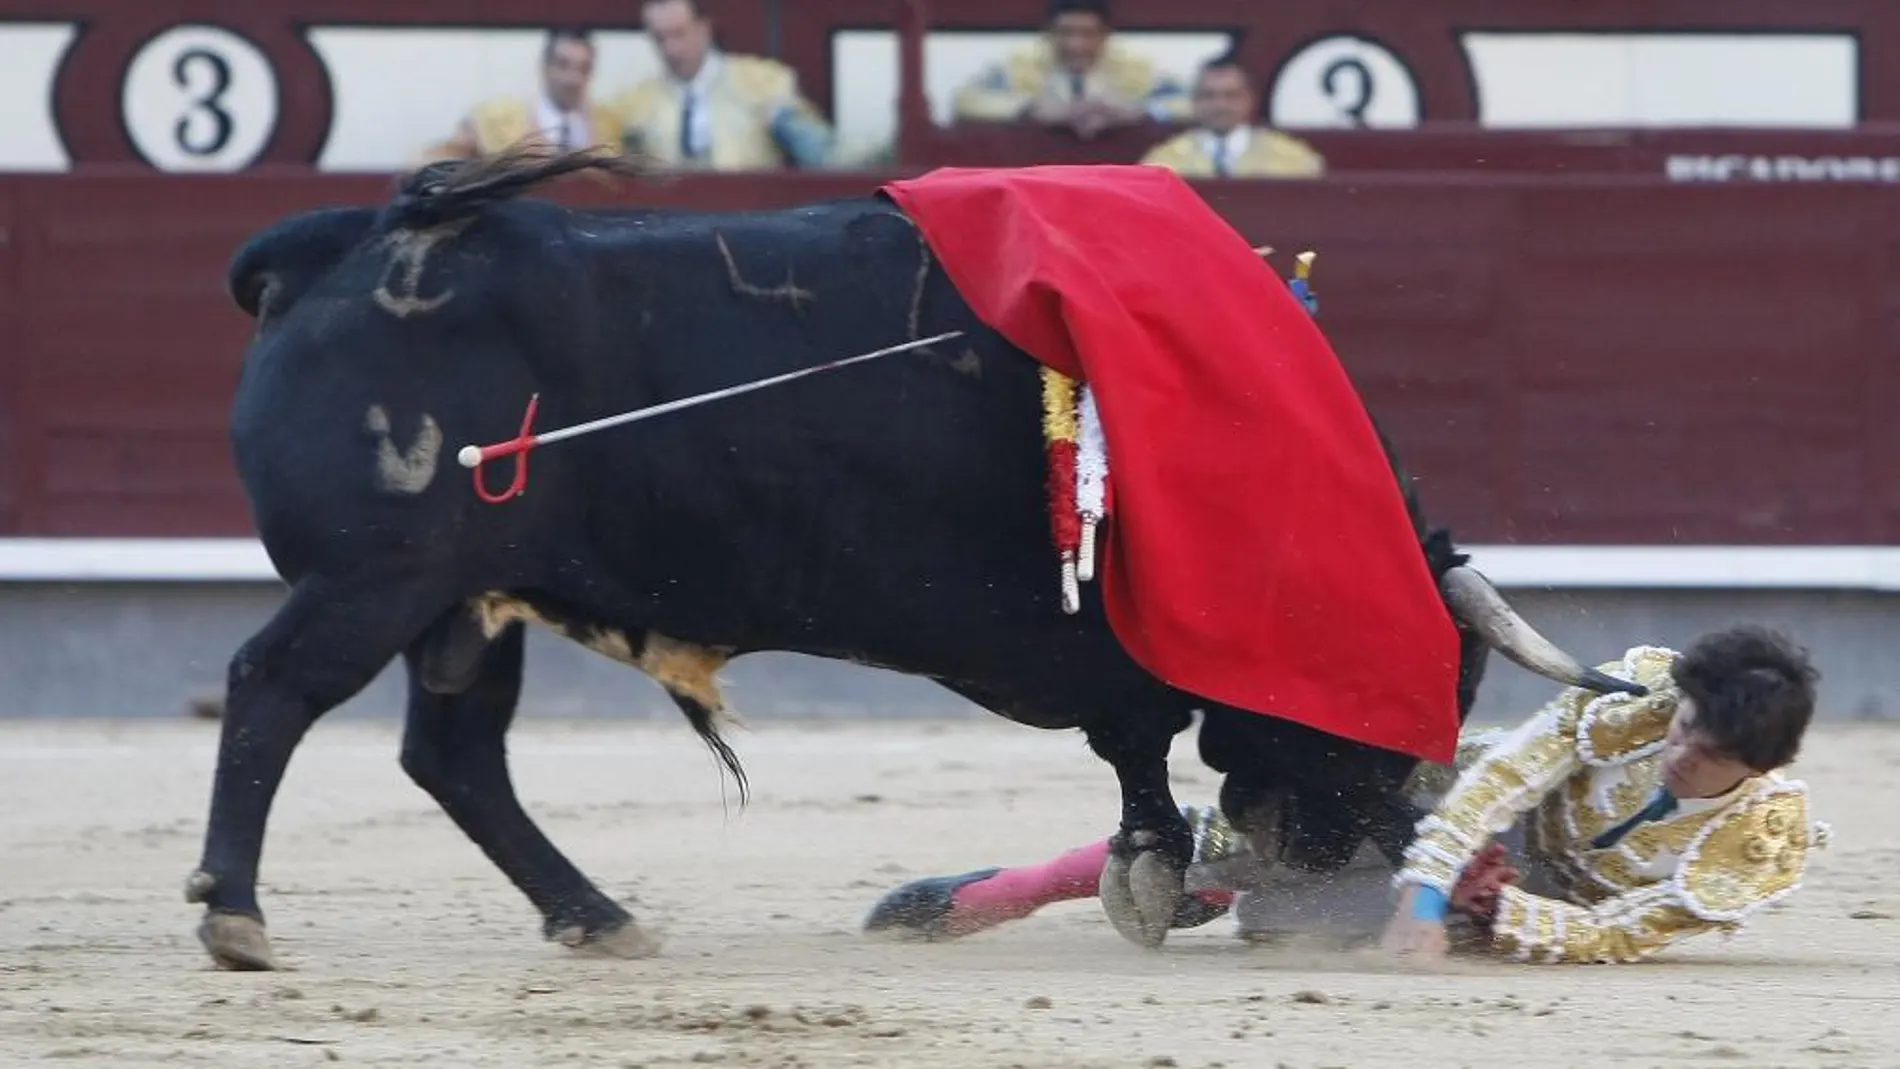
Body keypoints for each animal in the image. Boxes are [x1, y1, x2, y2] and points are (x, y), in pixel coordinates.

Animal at [196, 150, 1649, 972]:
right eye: (1435, 681)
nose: (1336, 889)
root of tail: (332, 246)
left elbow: (1140, 731)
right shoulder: (1091, 633)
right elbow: (1137, 733)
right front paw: (1152, 871)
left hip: (462, 601)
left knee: (452, 755)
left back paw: (597, 917)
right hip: (375, 578)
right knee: (273, 691)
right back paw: (235, 916)